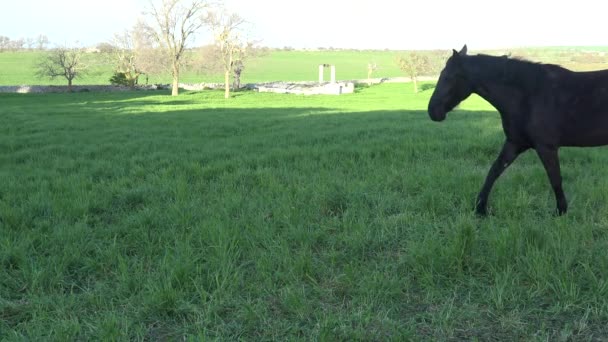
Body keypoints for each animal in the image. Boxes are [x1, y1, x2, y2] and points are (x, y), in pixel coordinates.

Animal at [428, 44, 608, 216]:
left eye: (448, 77)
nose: (433, 111)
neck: (529, 96)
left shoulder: (546, 147)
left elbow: (555, 179)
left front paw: (560, 211)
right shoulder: (515, 143)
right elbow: (494, 171)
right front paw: (480, 209)